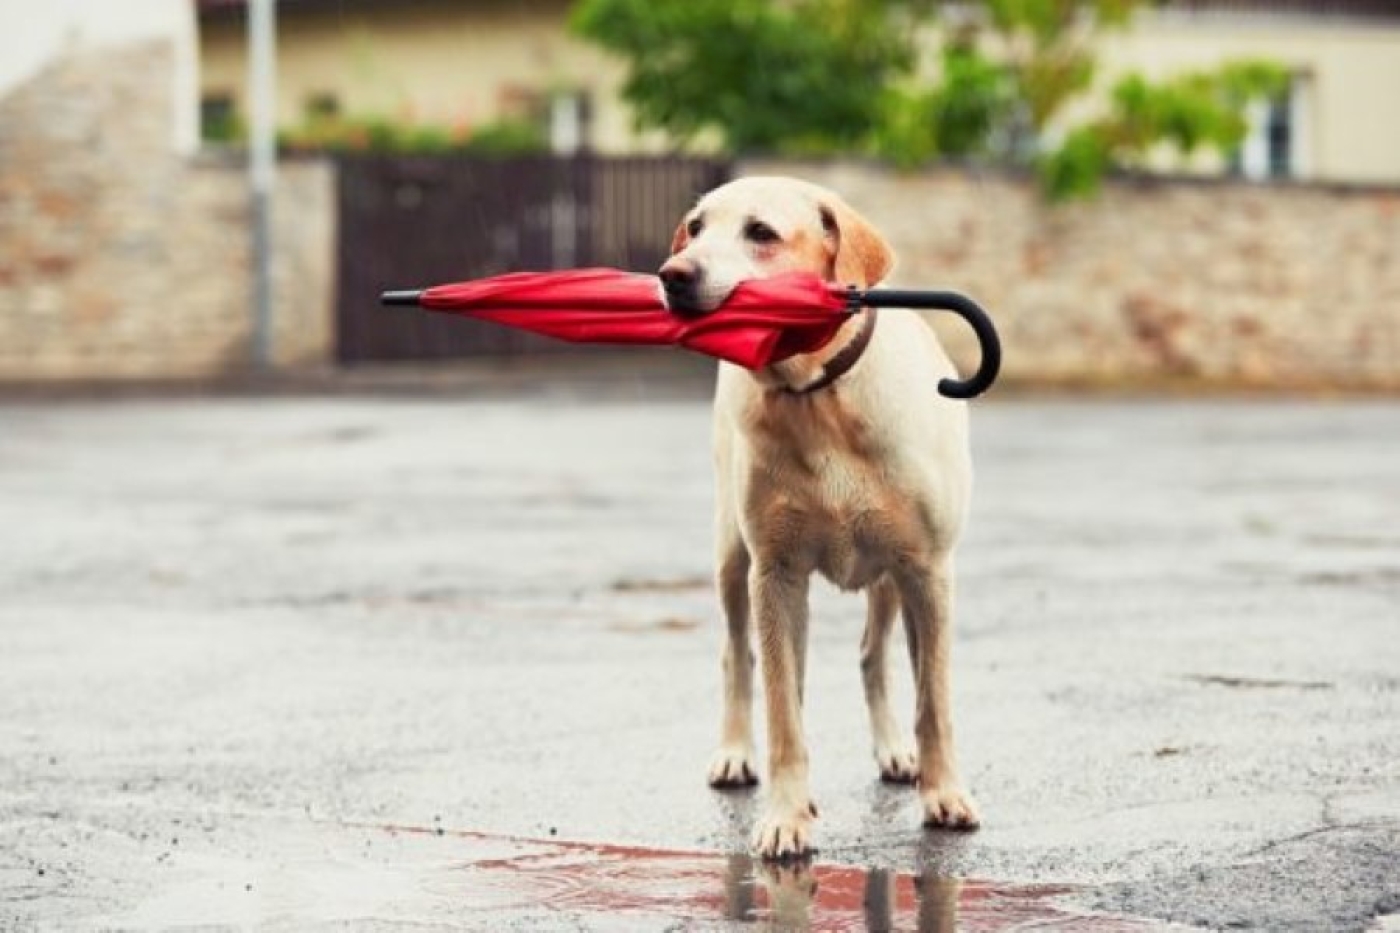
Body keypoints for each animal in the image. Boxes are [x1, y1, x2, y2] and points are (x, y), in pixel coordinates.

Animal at [658, 176, 980, 857]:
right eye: (695, 228)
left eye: (761, 232)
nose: (673, 275)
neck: (819, 398)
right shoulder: (776, 572)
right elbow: (783, 710)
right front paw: (786, 815)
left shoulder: (928, 570)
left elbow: (933, 700)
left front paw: (943, 792)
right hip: (734, 560)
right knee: (744, 658)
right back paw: (737, 752)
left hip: (889, 577)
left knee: (871, 654)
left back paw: (895, 751)